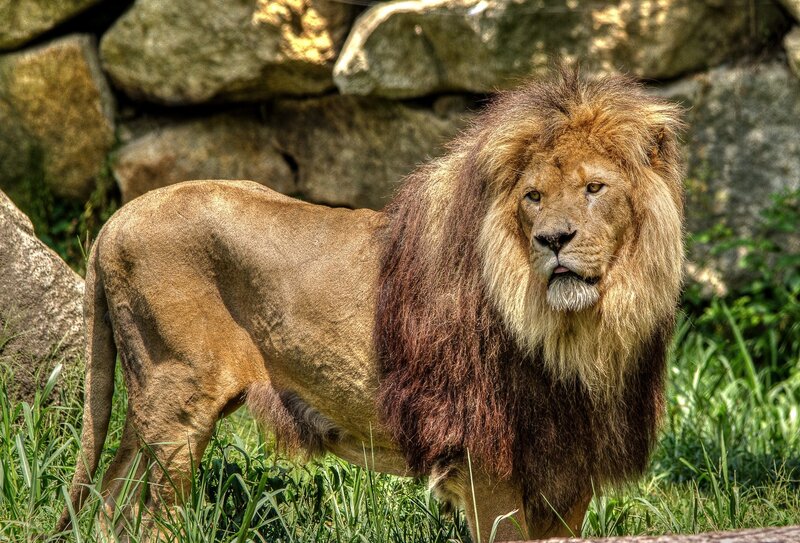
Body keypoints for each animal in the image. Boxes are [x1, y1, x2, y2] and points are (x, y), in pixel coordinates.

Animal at [57, 68, 684, 542]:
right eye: (533, 196)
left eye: (594, 188)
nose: (553, 239)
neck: (580, 333)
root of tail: (116, 220)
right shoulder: (484, 458)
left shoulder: (570, 465)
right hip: (179, 398)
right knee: (146, 516)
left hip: (154, 405)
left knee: (111, 500)